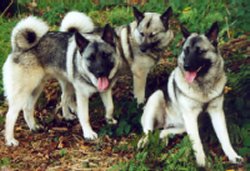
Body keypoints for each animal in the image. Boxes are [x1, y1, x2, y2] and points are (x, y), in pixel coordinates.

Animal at [139, 22, 242, 166]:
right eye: (186, 51)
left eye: (200, 51)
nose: (186, 66)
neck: (203, 86)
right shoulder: (191, 116)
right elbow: (197, 142)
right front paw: (201, 163)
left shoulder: (216, 113)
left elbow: (224, 137)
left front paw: (233, 156)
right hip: (157, 97)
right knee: (147, 131)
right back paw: (144, 142)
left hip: (184, 124)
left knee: (165, 130)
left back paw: (164, 135)